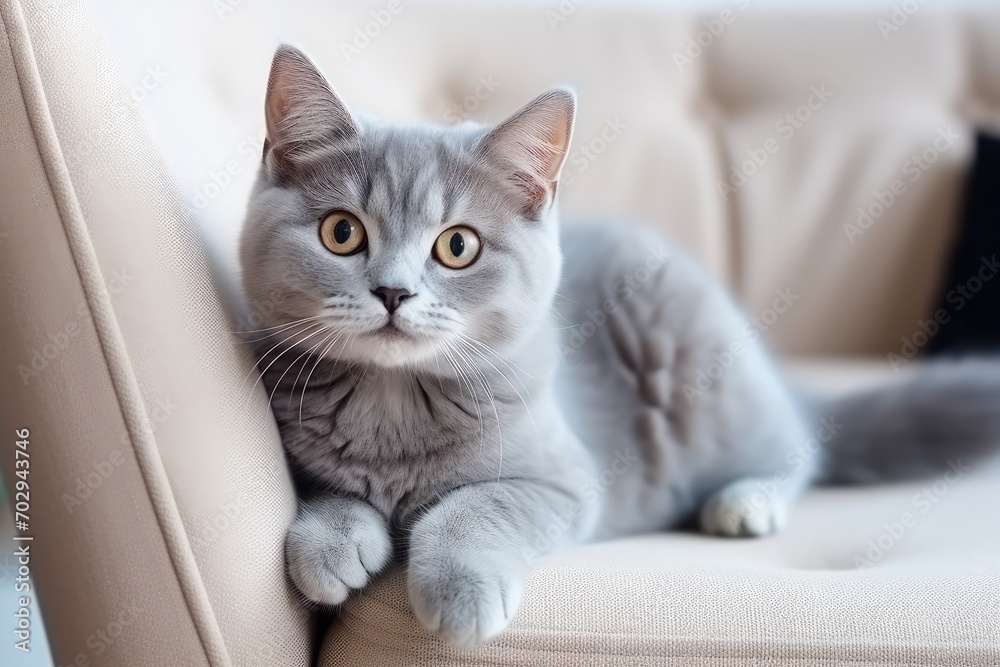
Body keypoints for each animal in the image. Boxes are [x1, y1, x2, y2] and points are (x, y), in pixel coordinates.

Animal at [240, 45, 1000, 648]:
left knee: (801, 448)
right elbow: (326, 488)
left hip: (711, 371)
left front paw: (458, 595)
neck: (392, 402)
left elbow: (475, 508)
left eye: (457, 246)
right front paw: (330, 545)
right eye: (342, 233)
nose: (393, 292)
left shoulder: (564, 481)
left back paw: (748, 499)